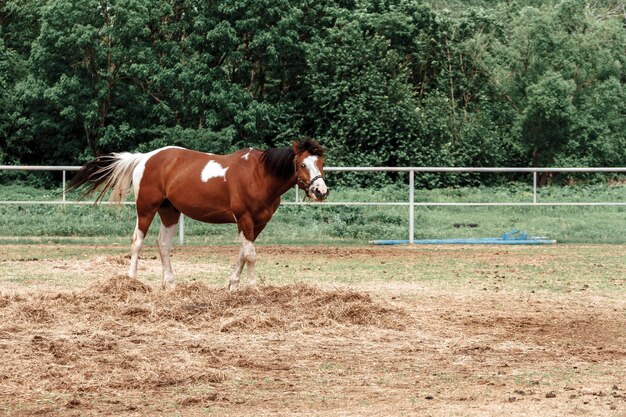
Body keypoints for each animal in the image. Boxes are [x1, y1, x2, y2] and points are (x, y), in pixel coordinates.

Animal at [69, 139, 326, 290]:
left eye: (322, 162)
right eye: (302, 164)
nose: (320, 190)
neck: (258, 175)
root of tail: (144, 157)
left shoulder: (258, 223)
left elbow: (243, 254)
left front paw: (233, 286)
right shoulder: (244, 219)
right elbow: (251, 255)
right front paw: (253, 289)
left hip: (169, 211)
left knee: (163, 244)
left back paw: (170, 284)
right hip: (146, 208)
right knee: (137, 241)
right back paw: (130, 280)